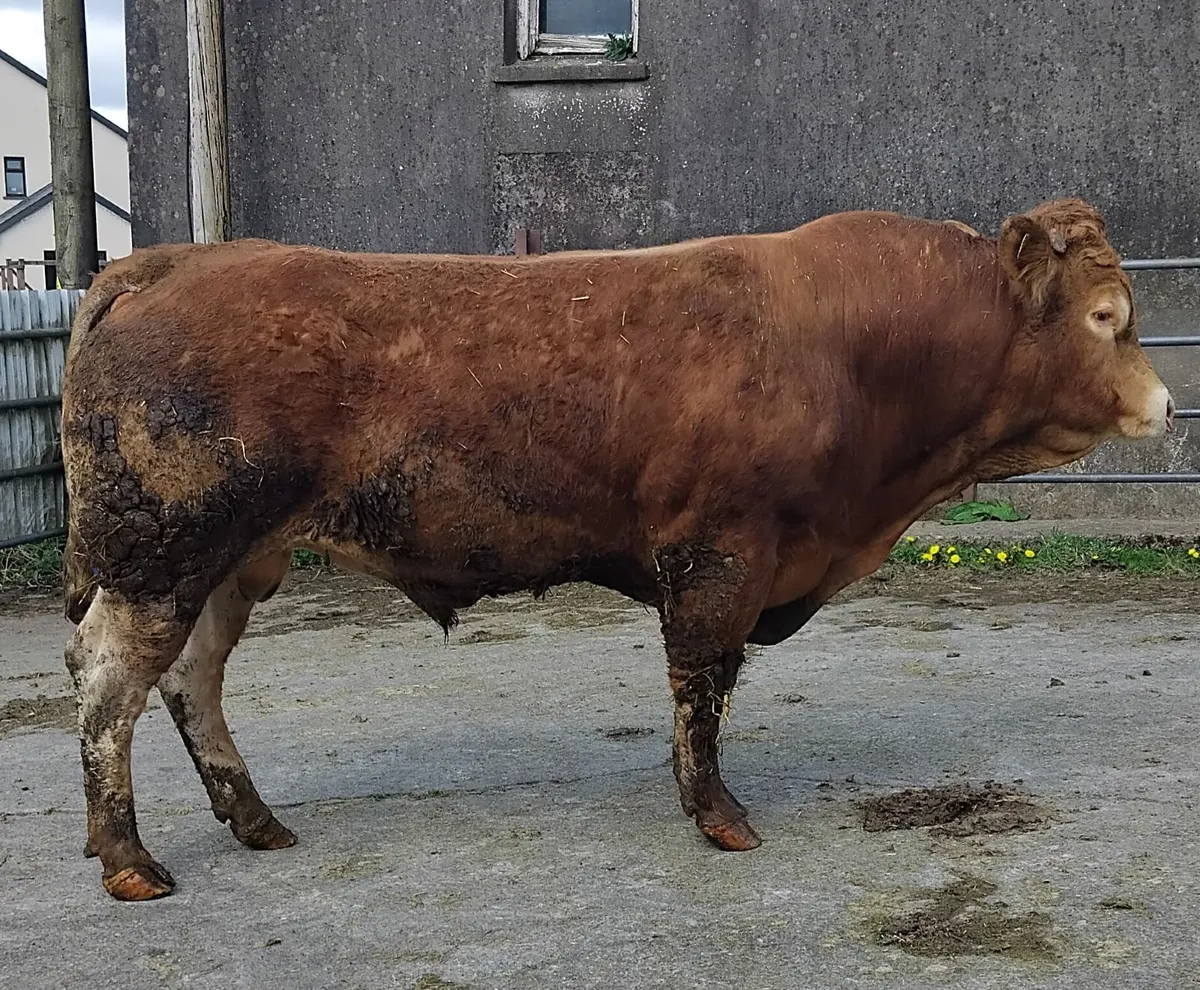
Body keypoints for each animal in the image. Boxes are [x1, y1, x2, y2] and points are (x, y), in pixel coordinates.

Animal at [60, 198, 1172, 901]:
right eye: (1107, 317)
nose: (1165, 404)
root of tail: (168, 261)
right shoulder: (720, 549)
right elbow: (700, 681)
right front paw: (718, 814)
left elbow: (707, 685)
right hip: (162, 553)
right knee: (107, 681)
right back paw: (128, 859)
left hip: (228, 562)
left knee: (190, 678)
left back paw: (253, 819)